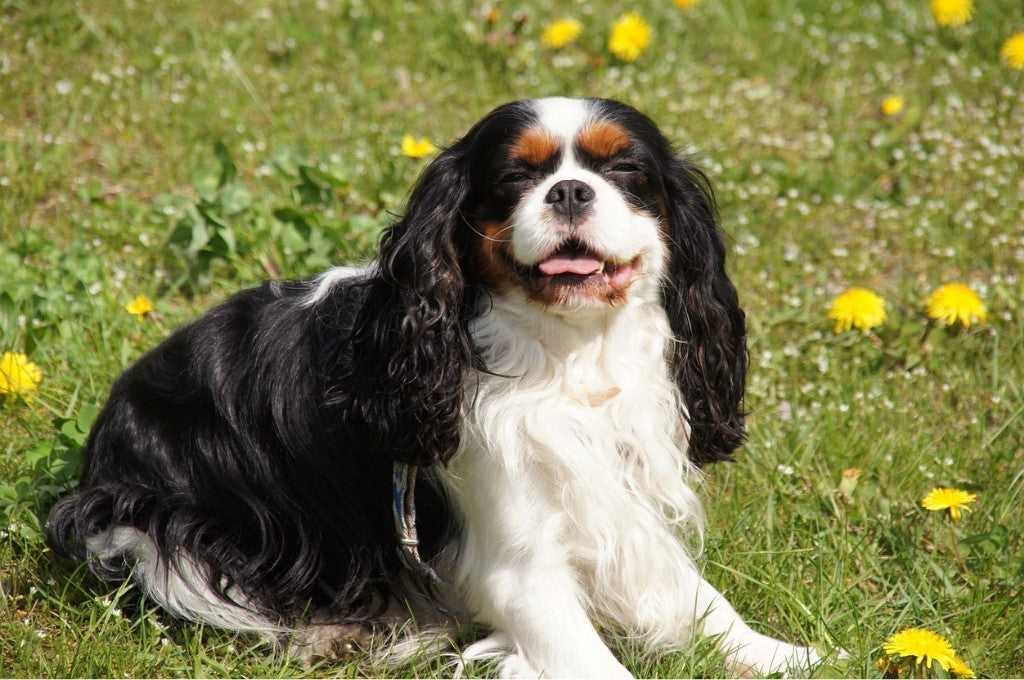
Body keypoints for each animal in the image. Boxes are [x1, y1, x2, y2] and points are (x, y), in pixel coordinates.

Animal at [49, 98, 823, 675]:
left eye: (625, 169)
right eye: (514, 177)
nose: (571, 189)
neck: (568, 356)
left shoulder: (618, 505)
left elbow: (702, 600)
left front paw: (787, 654)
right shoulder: (519, 569)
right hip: (161, 529)